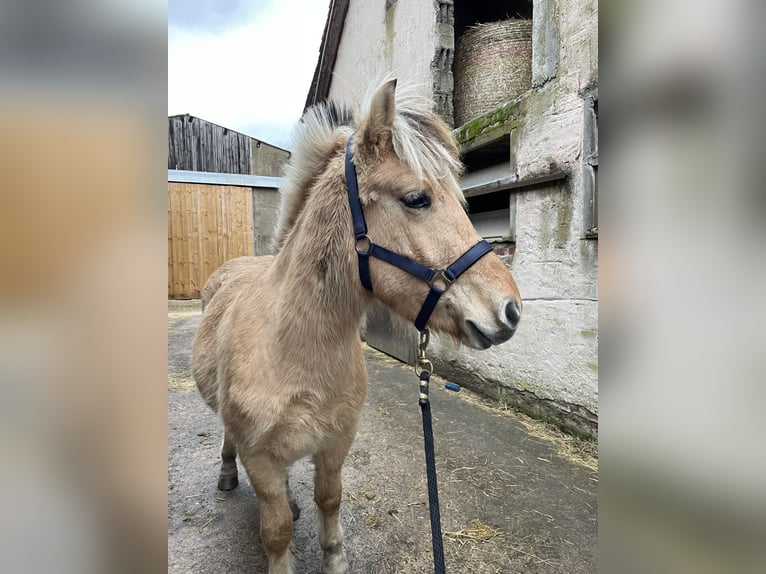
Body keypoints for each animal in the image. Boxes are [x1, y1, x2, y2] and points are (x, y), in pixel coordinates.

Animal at [191, 78, 522, 574]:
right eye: (417, 198)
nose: (511, 311)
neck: (294, 349)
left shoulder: (335, 446)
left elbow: (329, 500)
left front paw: (334, 558)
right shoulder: (261, 458)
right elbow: (276, 532)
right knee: (230, 443)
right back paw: (228, 474)